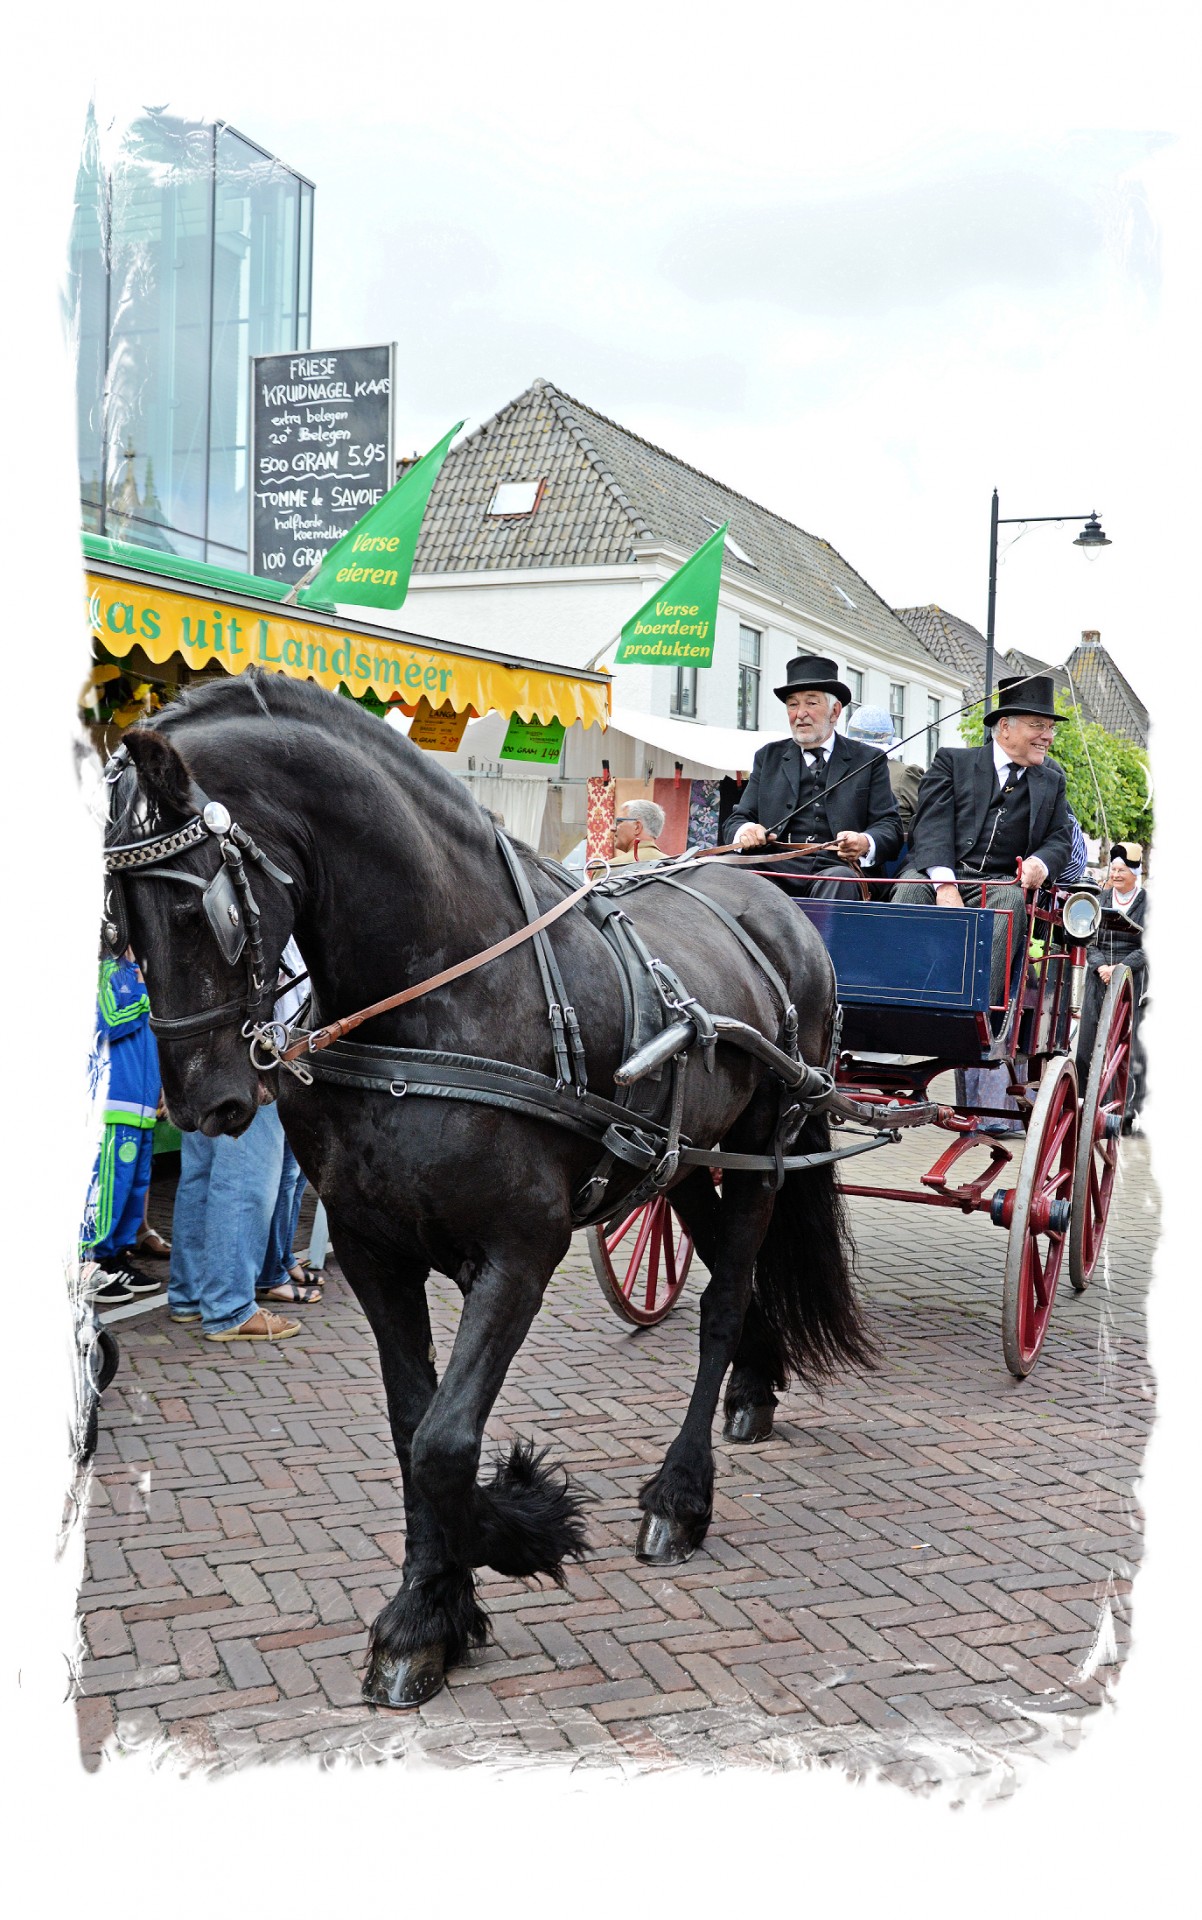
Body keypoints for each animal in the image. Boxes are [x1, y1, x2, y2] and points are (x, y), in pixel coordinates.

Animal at [107, 675, 871, 1712]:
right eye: (120, 918)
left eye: (204, 913)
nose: (206, 1102)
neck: (442, 996)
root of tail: (770, 899)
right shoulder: (372, 1250)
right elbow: (413, 1429)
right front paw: (438, 1607)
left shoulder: (519, 1253)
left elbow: (446, 1441)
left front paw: (506, 1542)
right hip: (688, 1166)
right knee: (732, 1278)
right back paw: (755, 1390)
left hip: (764, 1147)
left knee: (722, 1304)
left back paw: (681, 1496)